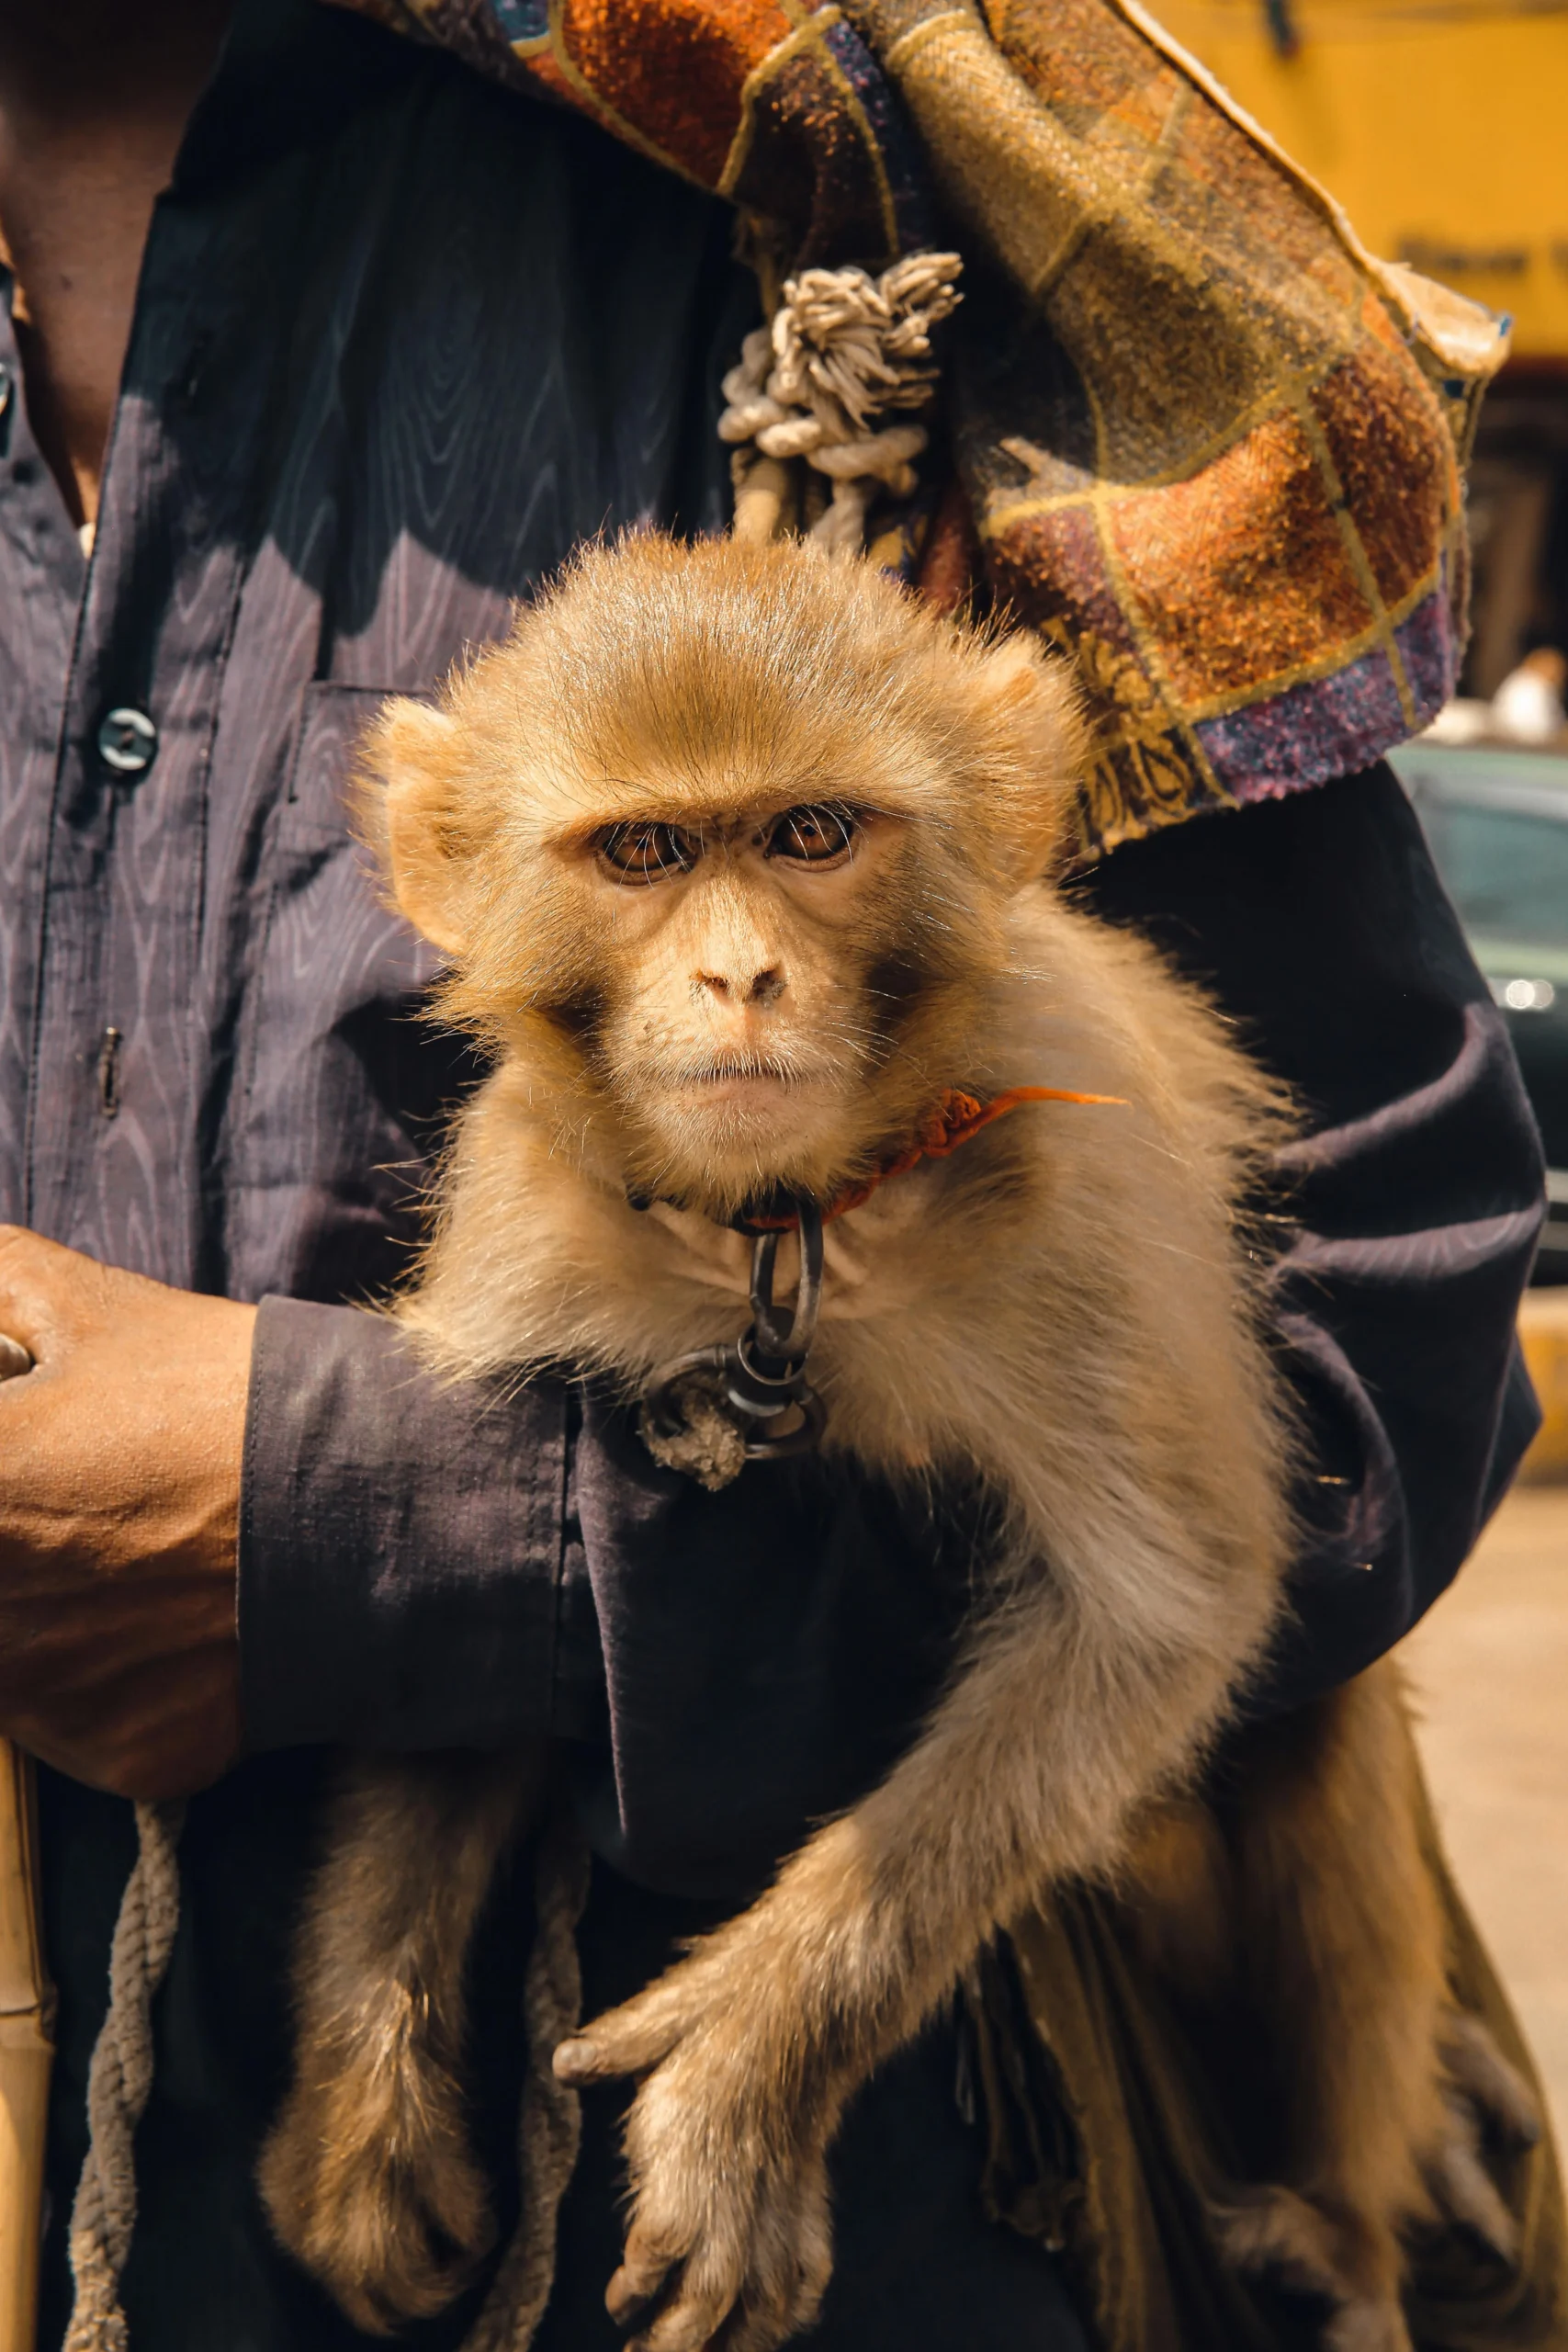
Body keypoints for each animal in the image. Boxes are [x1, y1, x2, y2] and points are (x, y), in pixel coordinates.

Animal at [254, 534, 1532, 2352]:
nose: (738, 976)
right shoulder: (529, 1240)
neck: (791, 1233)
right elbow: (452, 1642)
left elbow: (1159, 1621)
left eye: (809, 835)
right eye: (641, 851)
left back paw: (1347, 2239)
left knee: (1318, 1751)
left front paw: (747, 2070)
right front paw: (369, 2105)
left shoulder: (1077, 1223)